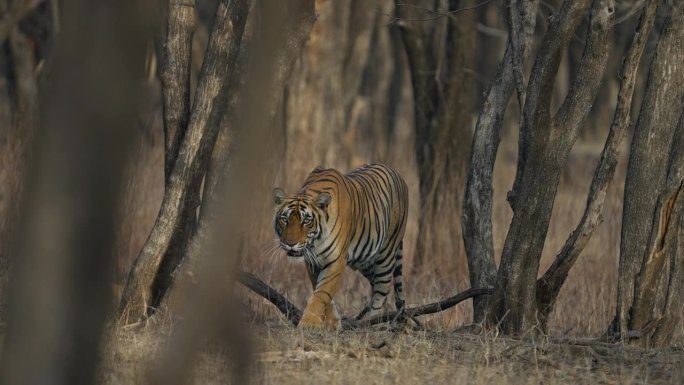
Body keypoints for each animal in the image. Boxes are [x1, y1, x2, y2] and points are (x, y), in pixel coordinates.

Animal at [272, 164, 408, 328]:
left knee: (381, 290)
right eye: (284, 219)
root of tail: (398, 175)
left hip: (386, 253)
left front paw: (309, 323)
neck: (315, 242)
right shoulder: (312, 262)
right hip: (366, 261)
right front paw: (332, 323)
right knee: (375, 284)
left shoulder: (335, 260)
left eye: (306, 221)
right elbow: (321, 290)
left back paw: (373, 321)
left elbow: (322, 292)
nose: (290, 244)